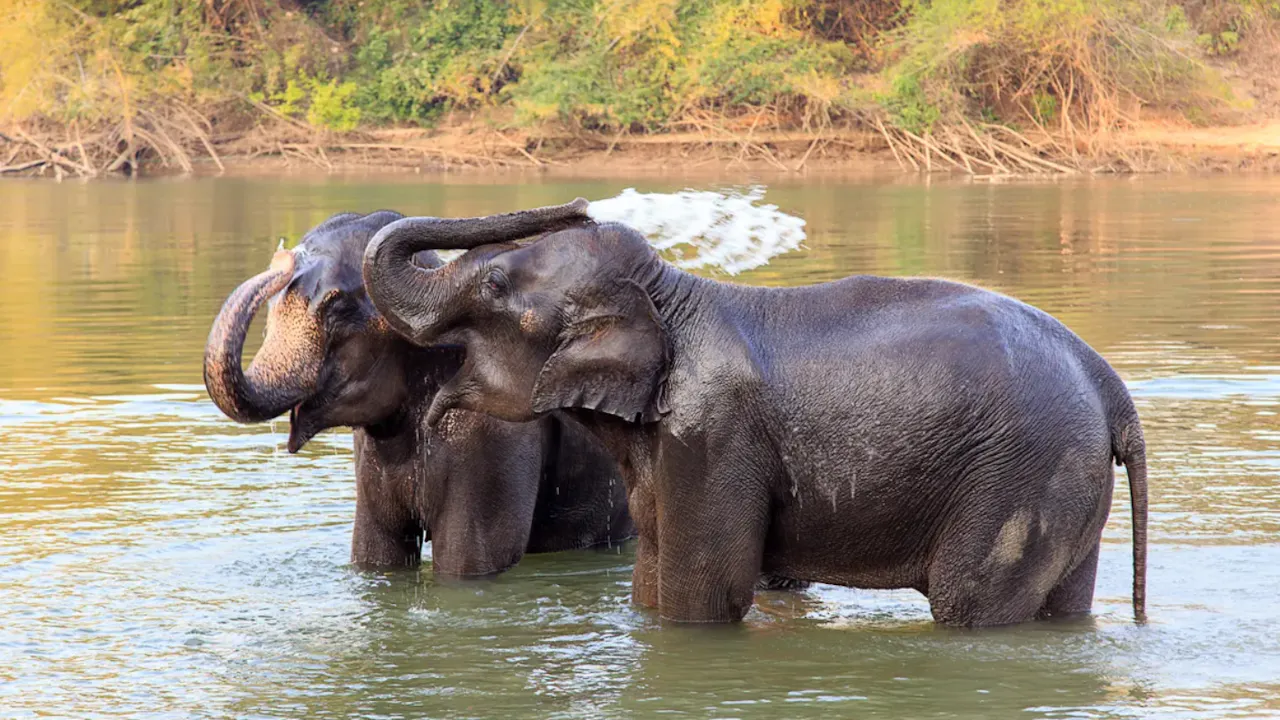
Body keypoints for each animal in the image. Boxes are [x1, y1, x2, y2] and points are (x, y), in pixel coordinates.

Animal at [359, 198, 1149, 627]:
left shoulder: (713, 432)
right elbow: (653, 581)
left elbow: (705, 588)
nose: (581, 204)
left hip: (1020, 477)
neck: (672, 293)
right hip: (1068, 484)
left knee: (971, 605)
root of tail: (1111, 387)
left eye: (494, 284)